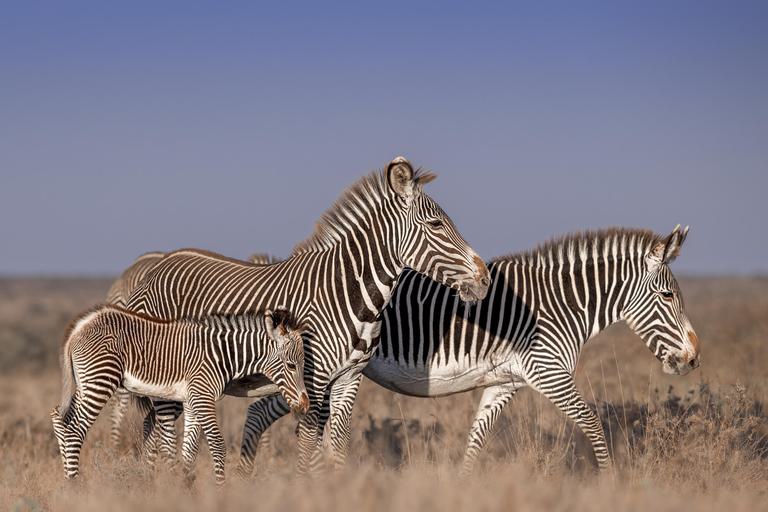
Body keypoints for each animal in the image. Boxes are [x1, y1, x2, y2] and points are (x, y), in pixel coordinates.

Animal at [50, 306, 307, 483]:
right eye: (291, 365)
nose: (305, 405)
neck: (224, 354)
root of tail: (81, 325)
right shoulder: (203, 396)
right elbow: (217, 445)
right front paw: (220, 490)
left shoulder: (192, 400)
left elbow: (189, 451)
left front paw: (185, 489)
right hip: (100, 380)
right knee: (74, 430)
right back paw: (74, 485)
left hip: (84, 382)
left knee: (59, 418)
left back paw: (66, 478)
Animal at [120, 157, 491, 473]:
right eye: (436, 225)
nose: (484, 279)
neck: (351, 295)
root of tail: (153, 272)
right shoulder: (311, 376)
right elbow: (309, 443)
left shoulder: (349, 378)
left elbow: (337, 446)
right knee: (163, 434)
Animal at [238, 226, 700, 473]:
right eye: (668, 296)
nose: (693, 360)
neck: (559, 305)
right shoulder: (548, 372)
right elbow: (592, 423)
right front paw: (610, 481)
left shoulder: (506, 382)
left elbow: (477, 439)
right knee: (262, 412)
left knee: (259, 412)